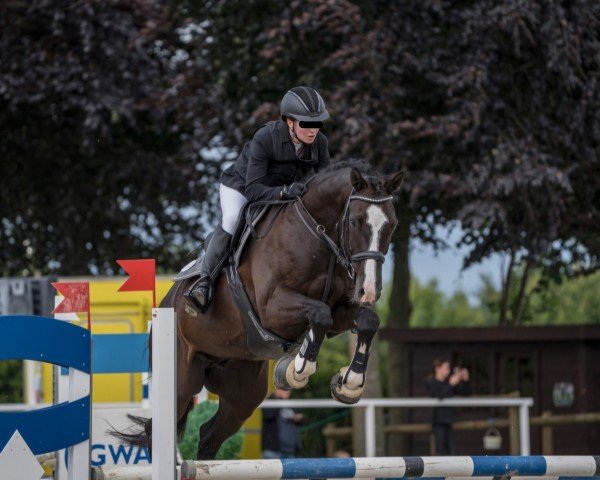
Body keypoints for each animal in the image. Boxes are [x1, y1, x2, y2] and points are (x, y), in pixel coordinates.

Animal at [112, 159, 404, 460]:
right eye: (356, 221)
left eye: (392, 225)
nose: (368, 290)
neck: (317, 237)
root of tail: (165, 304)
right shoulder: (272, 309)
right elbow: (319, 314)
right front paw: (297, 370)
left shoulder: (340, 313)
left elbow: (365, 320)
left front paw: (350, 383)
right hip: (182, 381)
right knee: (156, 429)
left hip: (243, 390)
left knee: (209, 435)